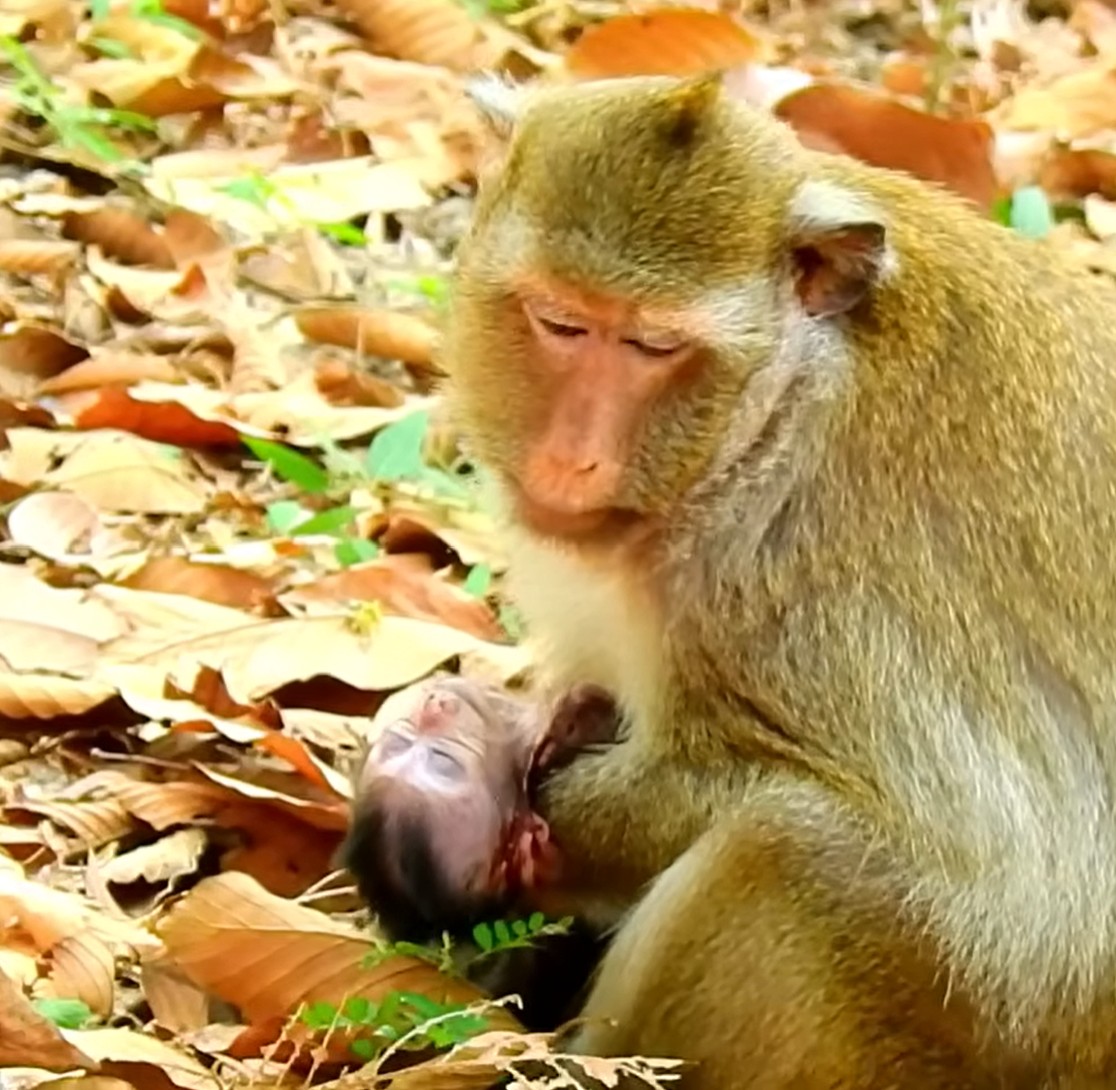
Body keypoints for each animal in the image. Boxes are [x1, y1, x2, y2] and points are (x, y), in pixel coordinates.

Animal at [376, 71, 1116, 1090]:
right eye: (559, 322)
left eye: (653, 348)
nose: (572, 459)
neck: (770, 405)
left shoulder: (787, 563)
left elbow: (983, 850)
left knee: (790, 853)